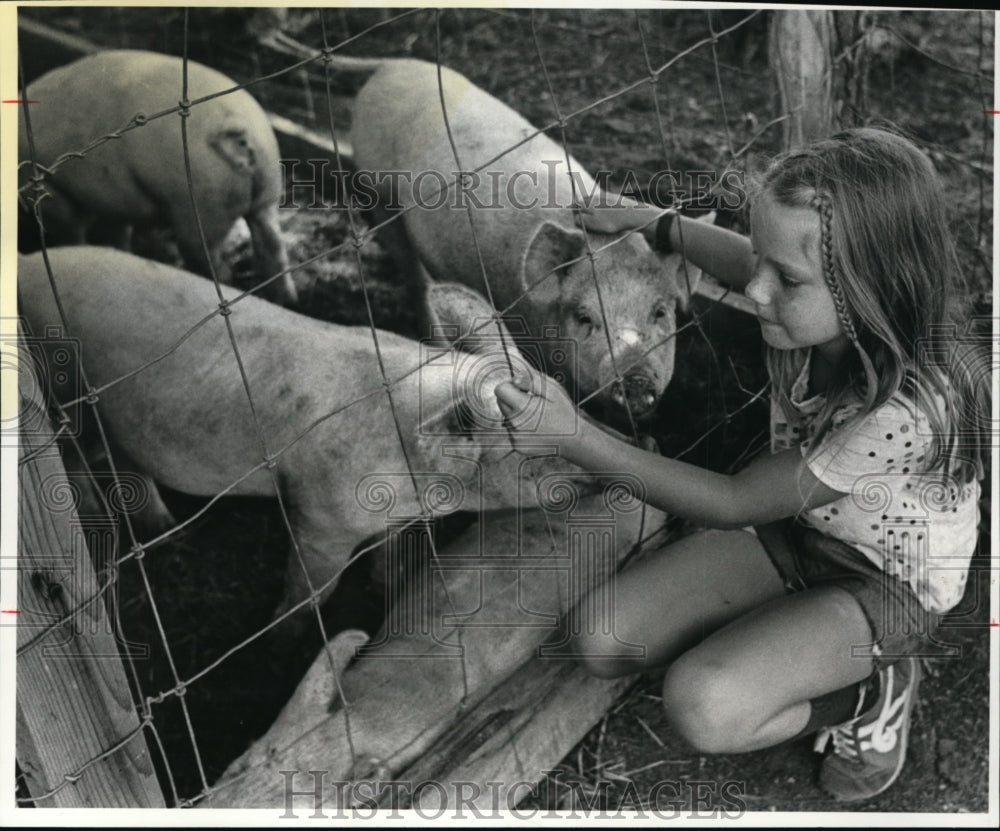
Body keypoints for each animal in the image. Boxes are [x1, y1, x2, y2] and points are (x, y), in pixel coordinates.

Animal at [16, 48, 296, 306]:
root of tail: (240, 133)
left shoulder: (51, 193)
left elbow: (75, 233)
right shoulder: (117, 201)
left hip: (202, 207)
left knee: (214, 263)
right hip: (267, 191)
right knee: (274, 248)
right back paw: (287, 299)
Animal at [19, 247, 596, 624]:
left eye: (568, 402)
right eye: (534, 455)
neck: (424, 488)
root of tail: (26, 264)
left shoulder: (395, 517)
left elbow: (388, 557)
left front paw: (391, 592)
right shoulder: (318, 516)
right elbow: (314, 588)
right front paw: (289, 634)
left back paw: (166, 526)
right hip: (56, 389)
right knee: (72, 457)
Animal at [348, 59, 708, 426]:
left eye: (660, 312)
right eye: (585, 318)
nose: (635, 380)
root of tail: (391, 66)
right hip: (379, 193)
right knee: (415, 277)